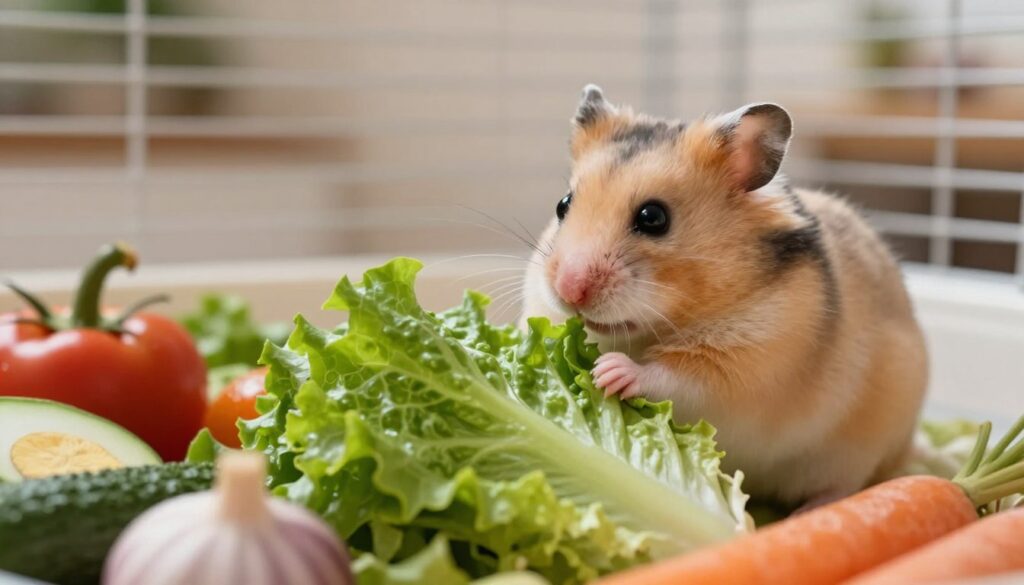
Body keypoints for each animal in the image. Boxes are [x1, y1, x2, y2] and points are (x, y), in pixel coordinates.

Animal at [521, 84, 928, 508]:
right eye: (563, 205)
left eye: (653, 217)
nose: (568, 289)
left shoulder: (745, 364)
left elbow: (674, 377)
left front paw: (608, 372)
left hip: (855, 451)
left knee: (844, 485)